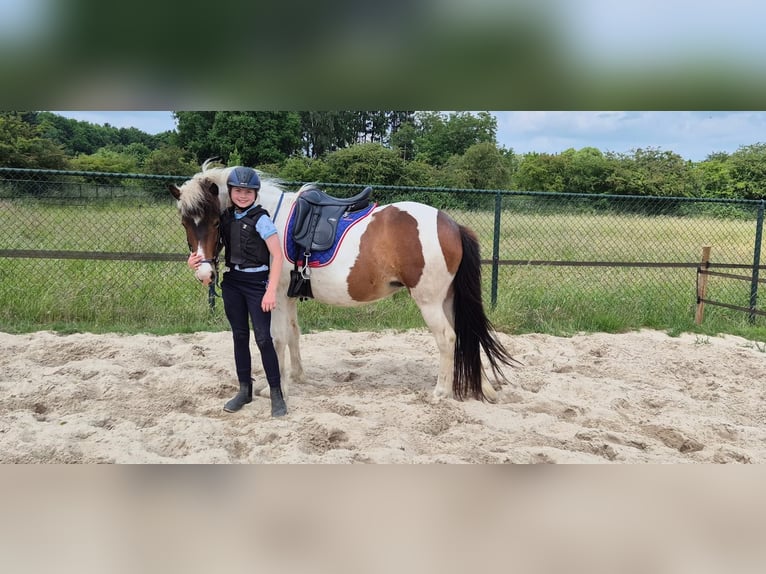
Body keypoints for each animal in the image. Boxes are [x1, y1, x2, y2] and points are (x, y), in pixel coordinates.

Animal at [168, 160, 519, 402]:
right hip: (447, 299)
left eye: (215, 221)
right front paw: (298, 376)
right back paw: (483, 388)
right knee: (465, 337)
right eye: (185, 222)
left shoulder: (276, 296)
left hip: (429, 301)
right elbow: (294, 334)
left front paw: (276, 386)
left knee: (448, 338)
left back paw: (441, 392)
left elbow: (278, 338)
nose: (203, 272)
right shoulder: (289, 297)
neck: (270, 219)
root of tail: (451, 224)